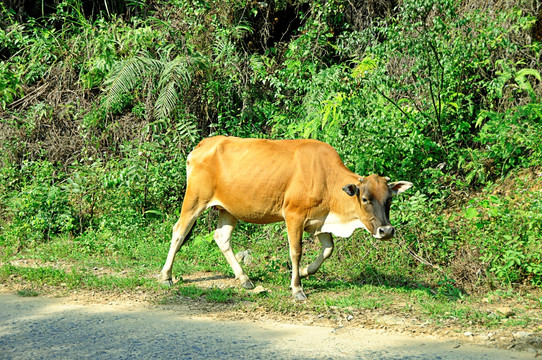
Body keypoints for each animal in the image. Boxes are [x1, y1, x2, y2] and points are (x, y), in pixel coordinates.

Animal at [160, 136, 412, 300]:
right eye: (366, 199)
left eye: (389, 199)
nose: (386, 231)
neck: (327, 179)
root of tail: (203, 144)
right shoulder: (294, 215)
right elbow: (296, 251)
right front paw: (297, 288)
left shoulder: (320, 222)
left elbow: (328, 250)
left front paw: (304, 272)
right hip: (195, 199)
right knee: (179, 231)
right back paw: (166, 276)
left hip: (228, 210)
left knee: (221, 238)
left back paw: (244, 279)